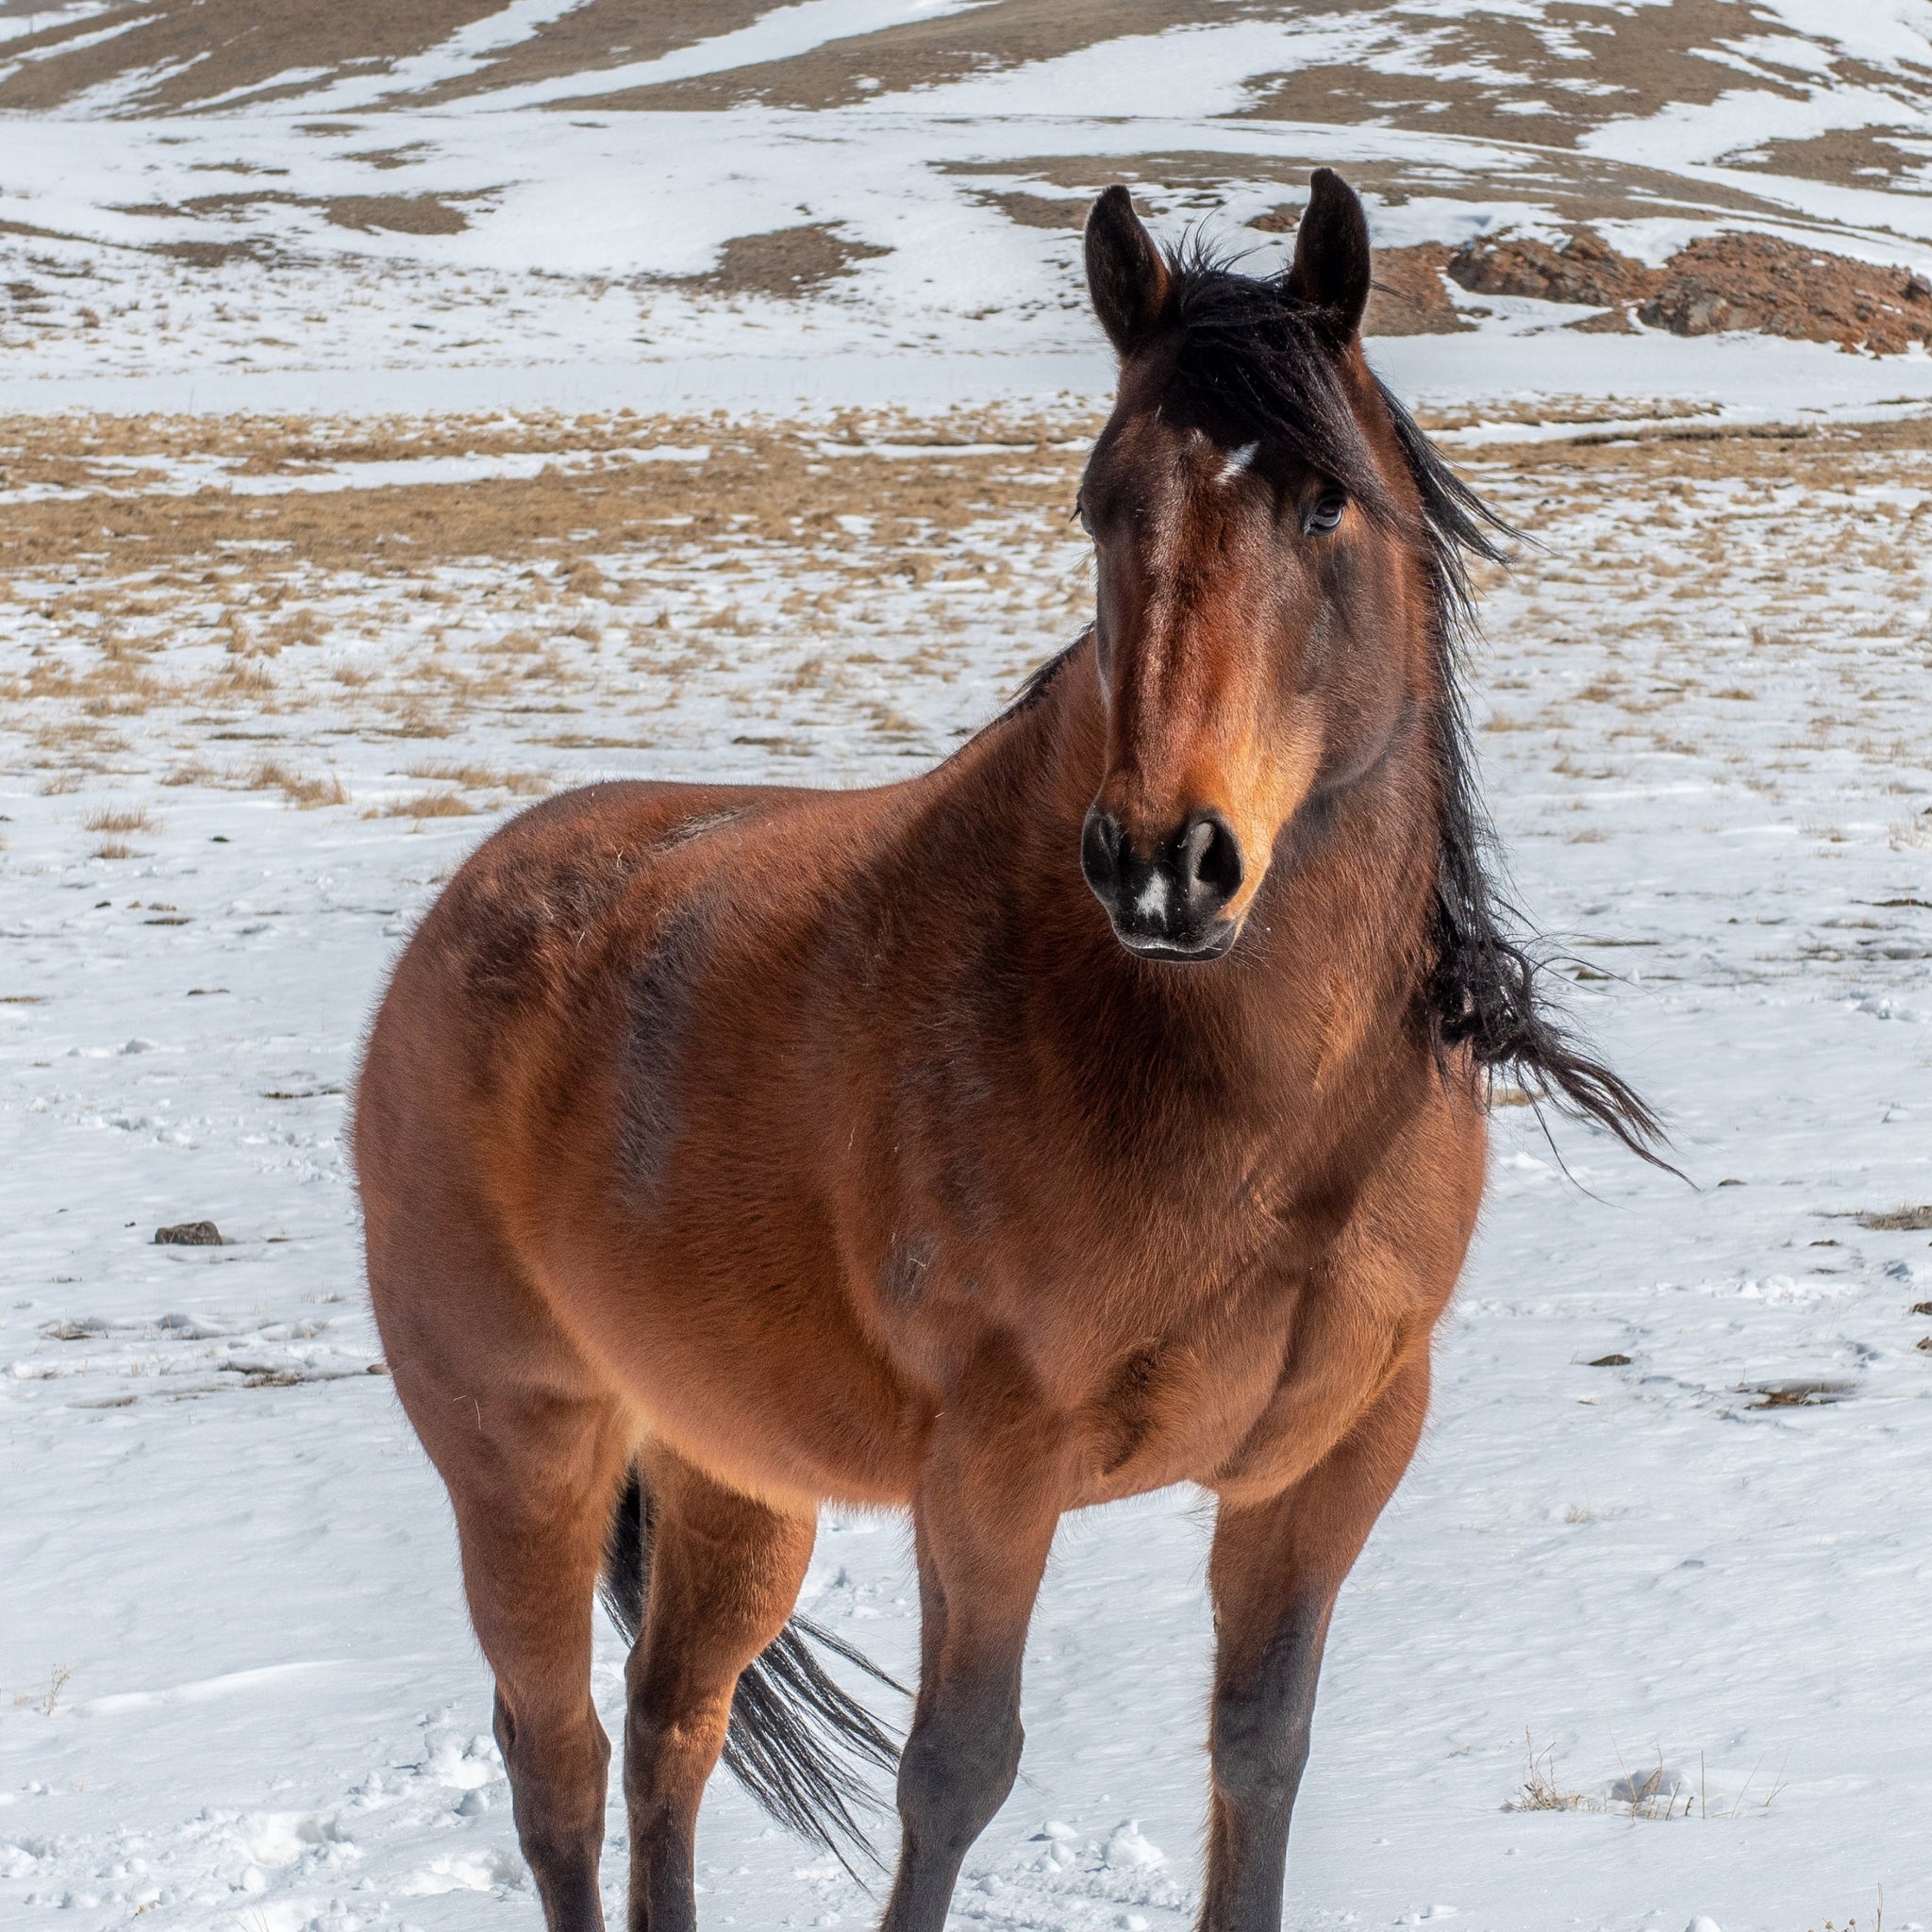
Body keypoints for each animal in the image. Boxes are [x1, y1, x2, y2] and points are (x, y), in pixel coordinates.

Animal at [354, 169, 1662, 1932]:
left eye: (1324, 505)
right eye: (1102, 506)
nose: (1165, 864)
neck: (1259, 1104)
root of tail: (463, 910)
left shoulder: (1325, 1466)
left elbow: (1259, 1754)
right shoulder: (992, 1470)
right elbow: (956, 1773)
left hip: (731, 1469)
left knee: (671, 1725)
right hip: (522, 1451)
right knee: (555, 1761)